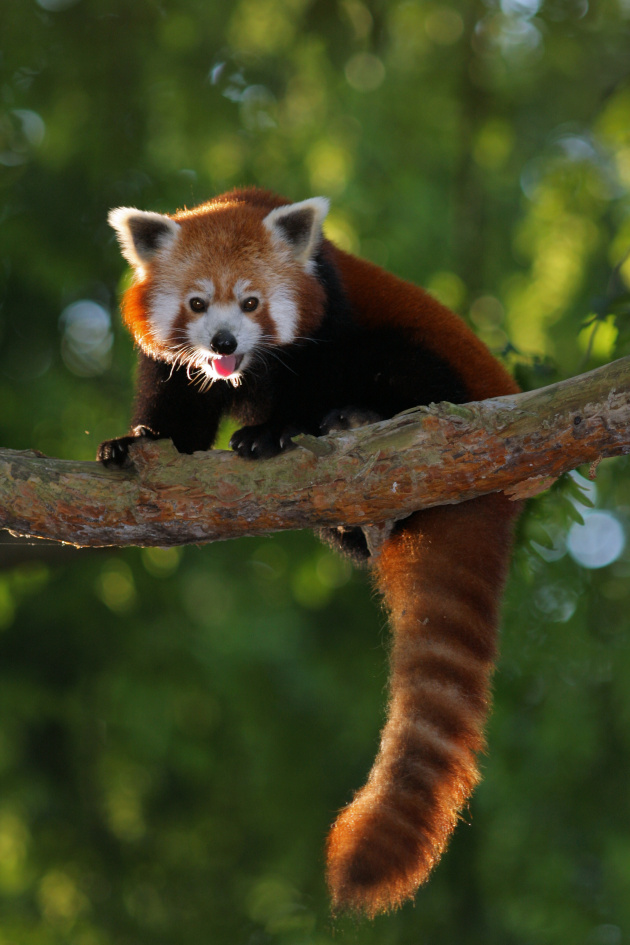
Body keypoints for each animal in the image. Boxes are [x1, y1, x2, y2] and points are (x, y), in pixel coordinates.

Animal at [100, 184, 524, 916]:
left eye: (251, 303)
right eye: (196, 304)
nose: (223, 342)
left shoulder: (330, 317)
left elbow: (316, 376)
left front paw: (275, 431)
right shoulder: (171, 364)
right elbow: (175, 417)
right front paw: (139, 442)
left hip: (441, 376)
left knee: (397, 367)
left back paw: (357, 418)